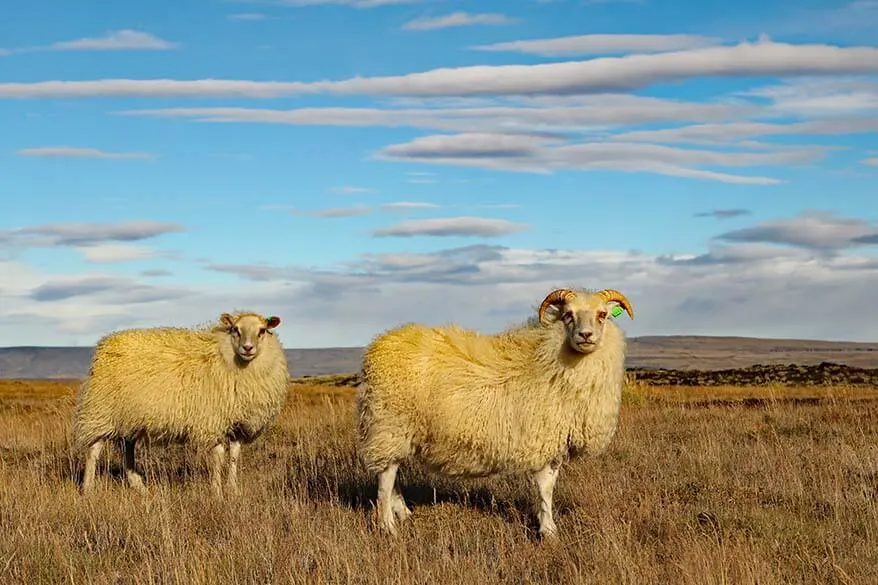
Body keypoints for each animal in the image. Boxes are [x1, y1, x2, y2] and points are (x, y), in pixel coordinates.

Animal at [72, 310, 290, 498]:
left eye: (262, 330)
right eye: (236, 329)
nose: (247, 348)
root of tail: (106, 344)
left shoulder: (238, 424)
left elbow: (235, 456)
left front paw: (233, 490)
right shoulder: (213, 421)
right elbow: (218, 457)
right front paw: (217, 493)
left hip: (129, 417)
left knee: (128, 450)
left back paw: (139, 486)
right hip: (101, 411)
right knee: (93, 450)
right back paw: (88, 489)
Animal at [354, 288, 636, 540]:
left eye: (602, 314)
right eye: (568, 314)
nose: (585, 335)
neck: (550, 362)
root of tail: (378, 347)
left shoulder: (555, 444)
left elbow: (550, 487)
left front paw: (546, 524)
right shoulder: (541, 440)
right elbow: (545, 489)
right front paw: (548, 531)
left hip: (395, 431)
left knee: (391, 472)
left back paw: (403, 513)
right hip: (389, 424)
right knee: (385, 477)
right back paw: (387, 526)